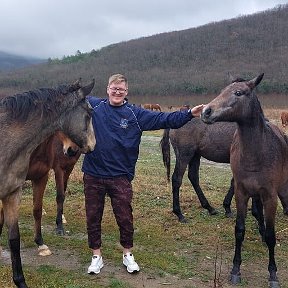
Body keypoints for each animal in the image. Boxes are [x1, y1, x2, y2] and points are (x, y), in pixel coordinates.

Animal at [200, 73, 288, 286]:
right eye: (222, 90)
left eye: (239, 93)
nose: (206, 111)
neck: (256, 153)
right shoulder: (242, 193)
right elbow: (239, 230)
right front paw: (235, 270)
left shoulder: (270, 196)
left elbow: (272, 235)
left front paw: (273, 274)